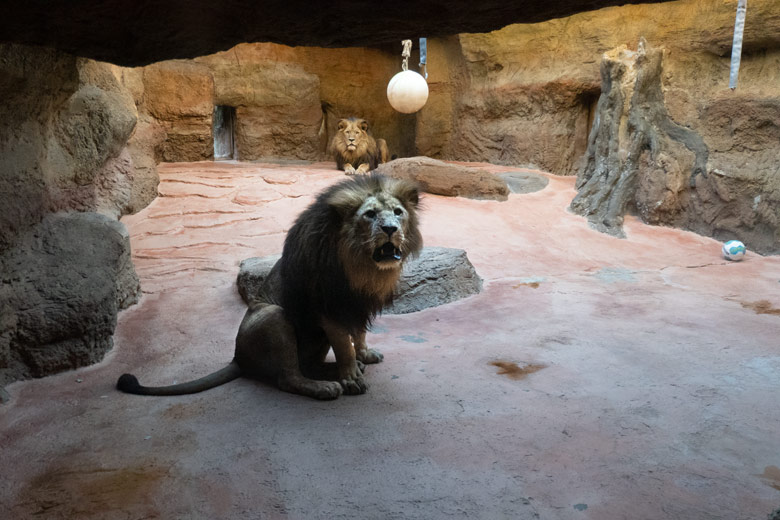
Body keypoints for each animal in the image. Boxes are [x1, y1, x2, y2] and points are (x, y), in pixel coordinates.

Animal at [117, 176, 420, 402]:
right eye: (369, 215)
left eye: (398, 213)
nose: (390, 229)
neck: (360, 265)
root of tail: (238, 358)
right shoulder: (328, 304)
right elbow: (344, 345)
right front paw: (351, 377)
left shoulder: (358, 303)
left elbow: (358, 333)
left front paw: (364, 355)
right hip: (274, 315)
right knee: (288, 378)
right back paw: (325, 386)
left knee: (307, 366)